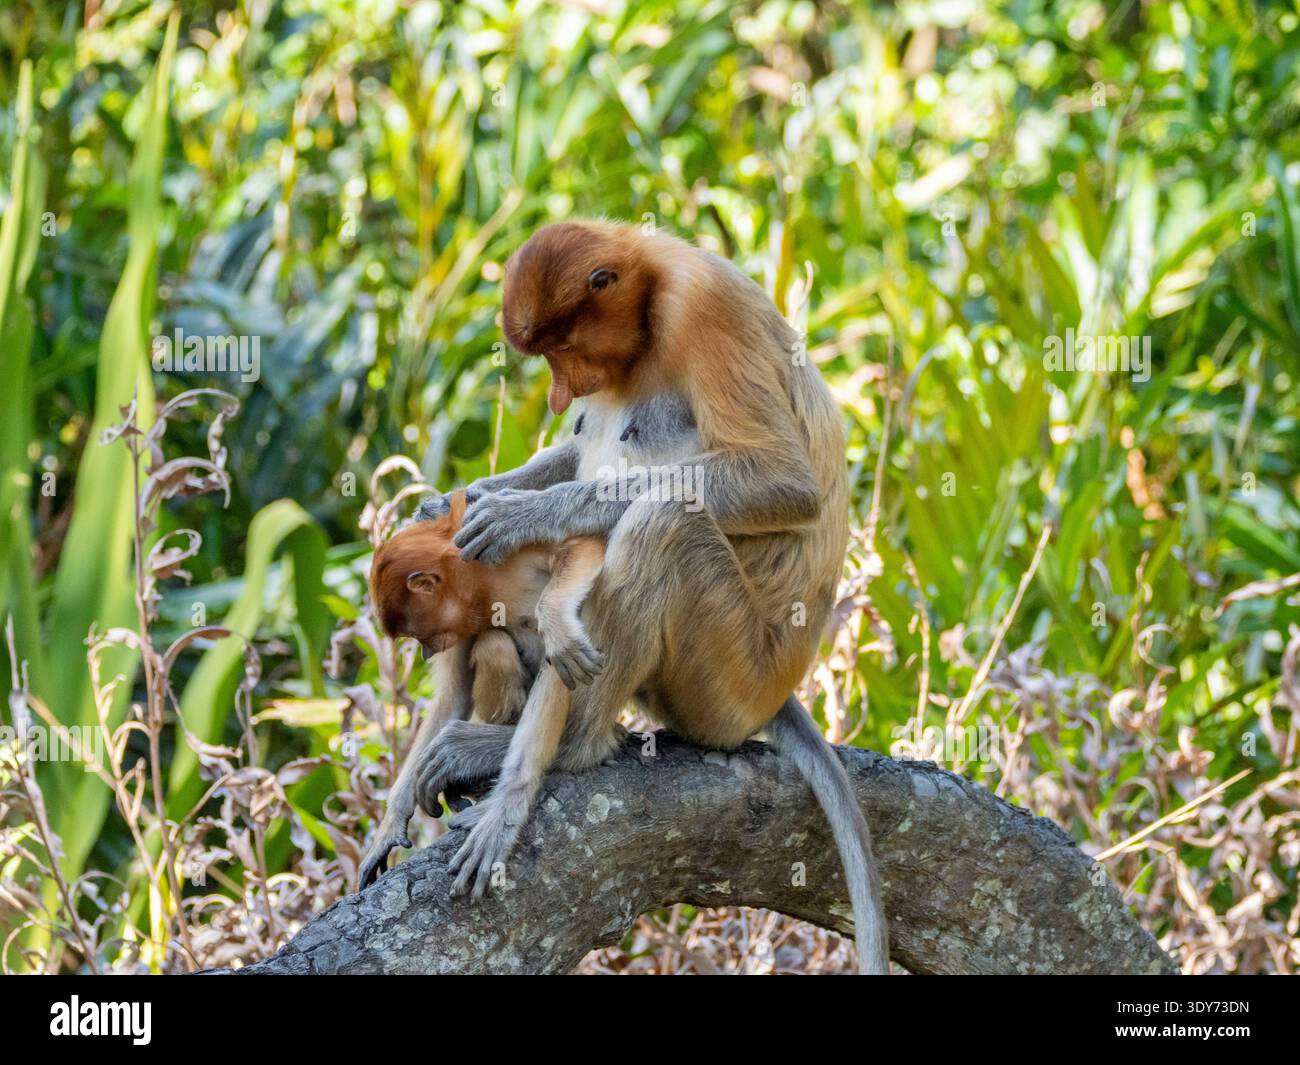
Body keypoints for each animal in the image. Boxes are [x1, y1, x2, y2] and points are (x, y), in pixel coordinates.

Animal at [357, 490, 607, 888]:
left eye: (416, 634)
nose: (426, 652)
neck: (482, 582)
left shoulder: (508, 549)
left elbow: (583, 546)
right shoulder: (463, 618)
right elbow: (454, 694)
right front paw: (390, 823)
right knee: (493, 644)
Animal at [403, 220, 890, 974]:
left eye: (562, 349)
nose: (559, 394)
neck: (654, 288)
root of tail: (776, 689)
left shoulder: (704, 309)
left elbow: (781, 481)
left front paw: (523, 513)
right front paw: (463, 500)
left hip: (728, 679)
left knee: (665, 521)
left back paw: (545, 751)